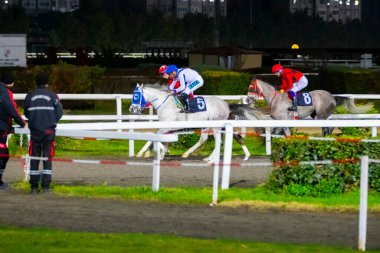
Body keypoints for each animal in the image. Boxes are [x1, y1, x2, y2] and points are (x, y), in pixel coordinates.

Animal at [129, 84, 268, 161]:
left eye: (136, 96)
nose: (131, 109)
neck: (165, 104)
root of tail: (226, 104)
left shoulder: (167, 126)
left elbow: (155, 136)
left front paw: (144, 153)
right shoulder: (168, 128)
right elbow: (161, 139)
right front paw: (160, 153)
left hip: (215, 126)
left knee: (218, 141)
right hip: (213, 125)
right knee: (233, 138)